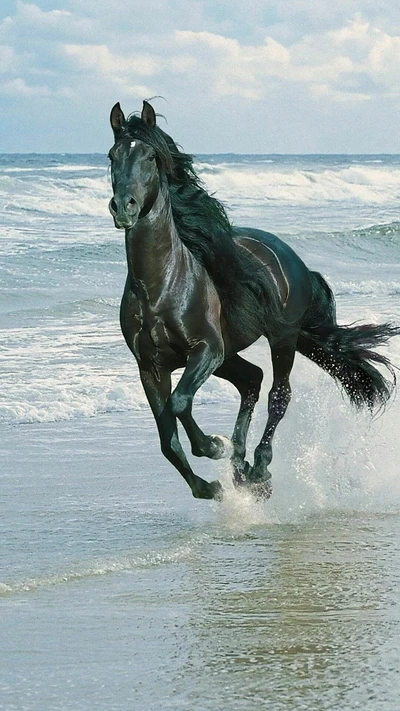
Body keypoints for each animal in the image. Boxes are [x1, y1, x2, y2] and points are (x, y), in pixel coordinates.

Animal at [108, 98, 398, 500]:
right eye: (112, 155)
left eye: (150, 157)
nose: (124, 207)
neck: (161, 287)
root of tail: (294, 260)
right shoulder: (150, 367)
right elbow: (168, 439)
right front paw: (209, 485)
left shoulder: (206, 350)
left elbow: (180, 403)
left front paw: (213, 446)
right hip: (230, 355)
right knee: (252, 380)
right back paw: (241, 467)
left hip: (280, 338)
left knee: (279, 393)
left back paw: (258, 467)